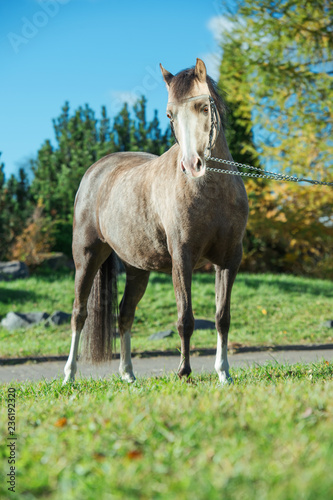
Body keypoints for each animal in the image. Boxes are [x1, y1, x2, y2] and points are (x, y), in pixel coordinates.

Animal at [63, 59, 248, 386]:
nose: (192, 165)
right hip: (86, 257)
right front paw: (184, 372)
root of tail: (96, 171)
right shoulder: (182, 259)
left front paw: (224, 372)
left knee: (125, 314)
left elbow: (222, 318)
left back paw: (128, 374)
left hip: (137, 268)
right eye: (169, 114)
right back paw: (69, 375)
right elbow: (185, 319)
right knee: (78, 313)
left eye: (204, 107)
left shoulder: (229, 260)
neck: (211, 192)